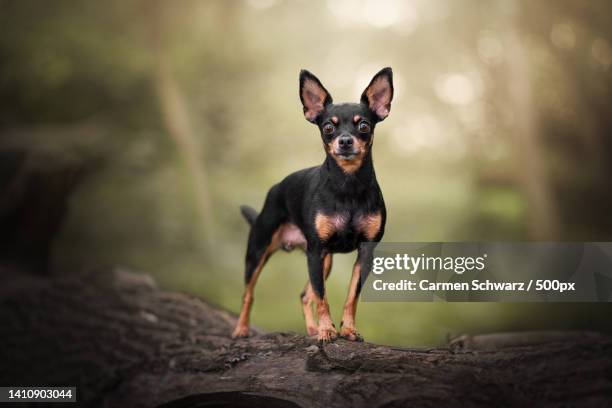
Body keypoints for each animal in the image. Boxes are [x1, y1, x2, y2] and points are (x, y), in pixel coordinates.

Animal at [232, 67, 394, 342]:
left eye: (364, 125)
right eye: (328, 127)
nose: (345, 141)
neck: (348, 186)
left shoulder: (364, 252)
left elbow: (351, 296)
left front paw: (347, 329)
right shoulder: (316, 251)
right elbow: (323, 298)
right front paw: (327, 330)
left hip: (324, 260)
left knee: (305, 294)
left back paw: (311, 328)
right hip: (259, 252)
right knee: (249, 293)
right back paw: (241, 329)